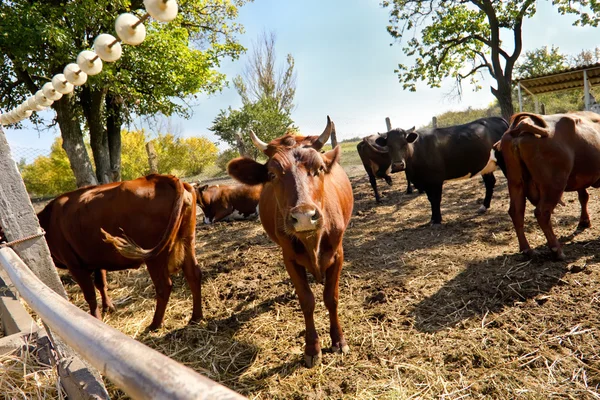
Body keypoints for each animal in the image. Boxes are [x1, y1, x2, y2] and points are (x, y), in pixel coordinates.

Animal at [37, 173, 202, 330]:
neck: (49, 221)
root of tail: (159, 178)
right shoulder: (96, 260)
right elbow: (101, 284)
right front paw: (108, 307)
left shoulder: (75, 265)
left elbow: (90, 295)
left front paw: (96, 319)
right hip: (188, 241)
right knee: (193, 275)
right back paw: (196, 317)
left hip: (155, 258)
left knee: (164, 286)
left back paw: (155, 324)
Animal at [227, 116, 354, 368]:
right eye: (272, 175)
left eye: (319, 168)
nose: (304, 216)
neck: (312, 241)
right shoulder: (289, 258)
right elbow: (307, 300)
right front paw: (312, 348)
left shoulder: (338, 254)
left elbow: (331, 298)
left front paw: (338, 340)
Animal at [372, 116, 508, 225]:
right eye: (388, 146)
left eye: (405, 143)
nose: (398, 165)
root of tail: (496, 118)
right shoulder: (425, 181)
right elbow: (431, 199)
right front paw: (433, 219)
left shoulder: (435, 179)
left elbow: (436, 199)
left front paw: (437, 220)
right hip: (485, 165)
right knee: (490, 182)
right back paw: (484, 206)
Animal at [500, 111, 600, 260]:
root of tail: (523, 124)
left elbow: (583, 197)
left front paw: (584, 221)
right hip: (553, 185)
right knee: (542, 213)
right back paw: (556, 249)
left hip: (515, 182)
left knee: (516, 212)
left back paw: (527, 250)